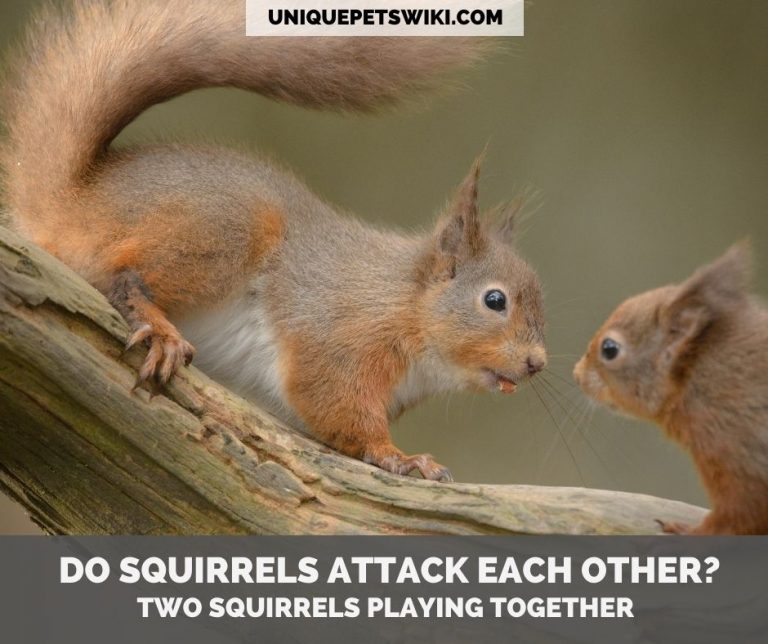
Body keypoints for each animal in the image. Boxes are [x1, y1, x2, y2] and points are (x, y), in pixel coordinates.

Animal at [0, 0, 548, 481]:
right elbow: (335, 404)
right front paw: (403, 458)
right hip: (225, 231)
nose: (537, 364)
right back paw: (158, 329)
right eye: (494, 300)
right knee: (121, 275)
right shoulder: (340, 337)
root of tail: (69, 204)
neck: (404, 301)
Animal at [574, 243, 768, 534]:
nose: (577, 375)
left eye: (609, 349)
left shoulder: (736, 451)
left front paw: (686, 530)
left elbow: (736, 516)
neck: (695, 373)